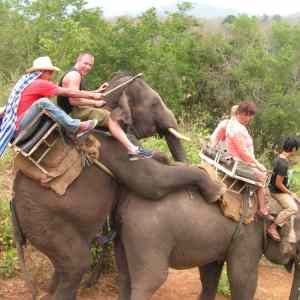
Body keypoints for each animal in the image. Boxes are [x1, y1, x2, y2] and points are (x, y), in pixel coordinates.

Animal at [115, 186, 300, 298]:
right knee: (150, 280)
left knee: (125, 276)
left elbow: (210, 275)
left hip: (126, 234)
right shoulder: (247, 238)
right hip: (148, 235)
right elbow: (243, 279)